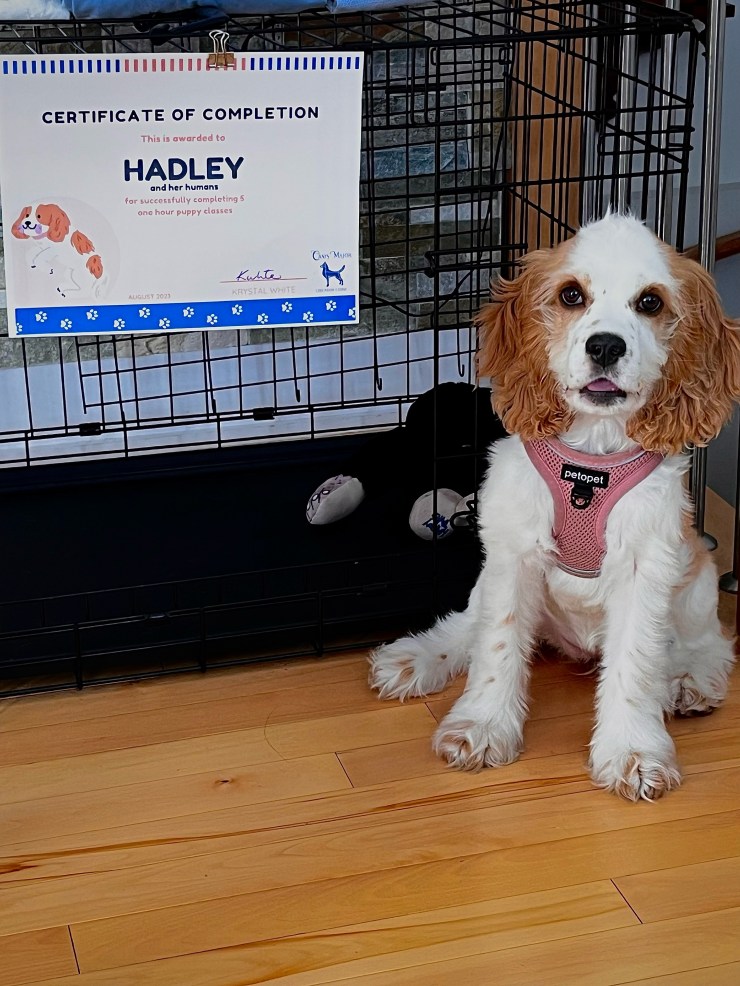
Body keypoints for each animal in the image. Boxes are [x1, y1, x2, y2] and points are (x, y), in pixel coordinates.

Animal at [370, 212, 740, 801]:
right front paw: (482, 727)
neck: (590, 458)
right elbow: (495, 643)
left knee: (710, 643)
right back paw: (416, 658)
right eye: (571, 295)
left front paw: (633, 752)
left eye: (650, 302)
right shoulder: (513, 550)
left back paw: (689, 680)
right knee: (468, 621)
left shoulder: (646, 563)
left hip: (697, 578)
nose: (606, 346)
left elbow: (637, 663)